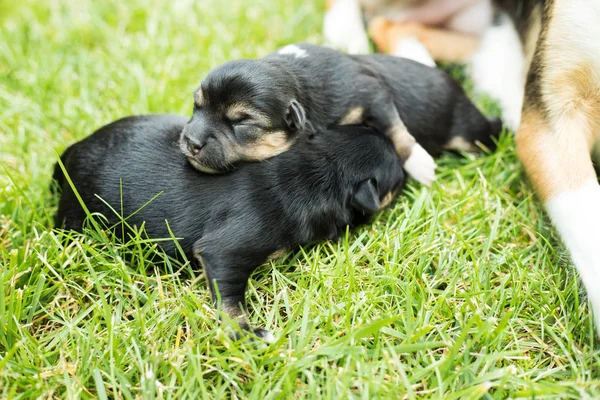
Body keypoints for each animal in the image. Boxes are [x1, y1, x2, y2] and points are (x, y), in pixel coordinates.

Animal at [54, 114, 406, 342]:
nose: (407, 168)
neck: (316, 169)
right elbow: (230, 299)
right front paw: (247, 333)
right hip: (76, 215)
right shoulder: (228, 249)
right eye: (399, 177)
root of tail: (69, 153)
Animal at [179, 42, 502, 186]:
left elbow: (396, 127)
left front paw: (420, 164)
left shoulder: (372, 92)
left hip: (469, 131)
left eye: (241, 122)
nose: (190, 143)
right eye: (197, 105)